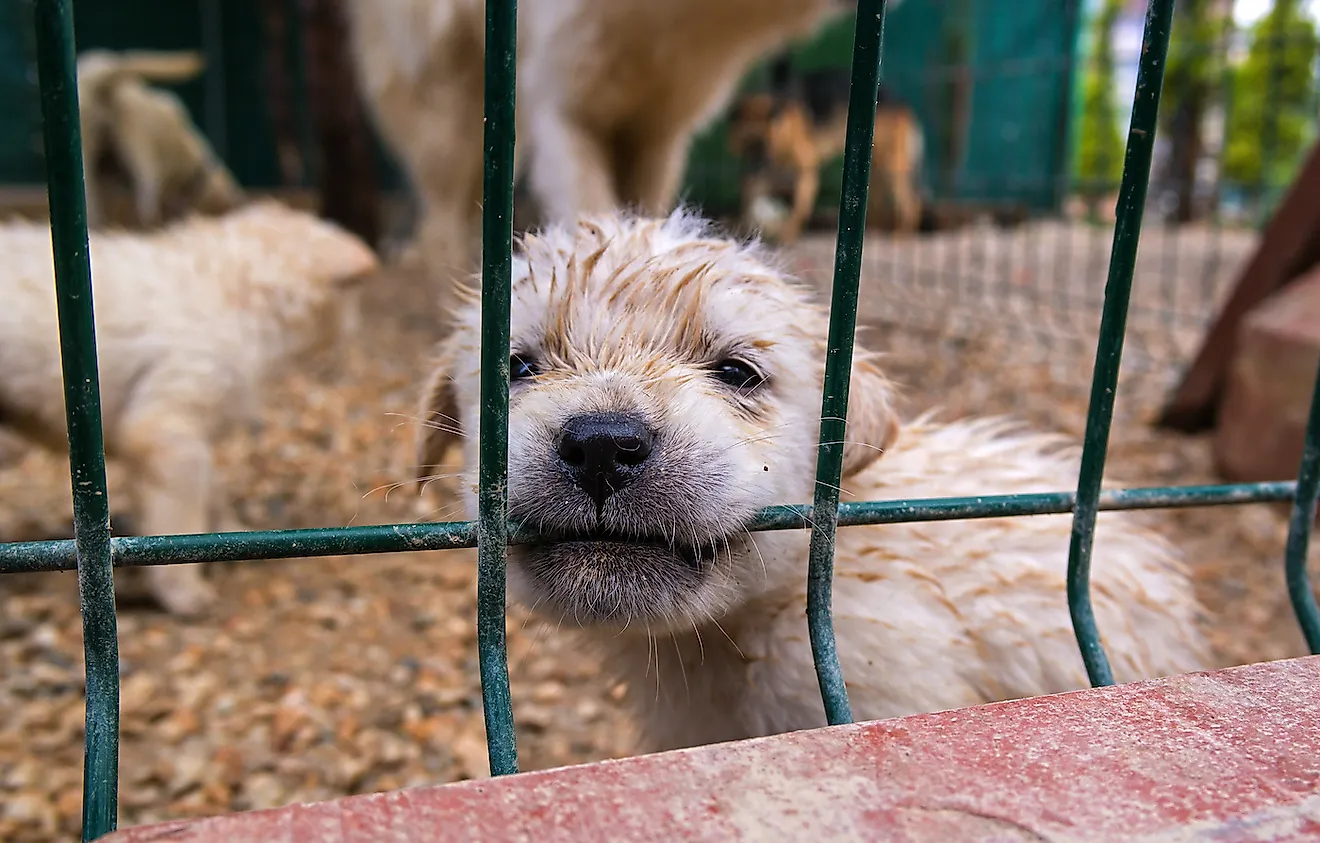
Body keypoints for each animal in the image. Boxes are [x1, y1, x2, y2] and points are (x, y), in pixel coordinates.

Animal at [2, 201, 380, 617]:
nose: (357, 327)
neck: (235, 291)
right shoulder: (165, 427)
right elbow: (179, 513)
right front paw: (185, 592)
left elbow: (210, 489)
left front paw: (231, 536)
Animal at [723, 54, 929, 242]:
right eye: (745, 146)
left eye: (765, 145)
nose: (752, 172)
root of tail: (902, 103)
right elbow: (751, 200)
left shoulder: (806, 167)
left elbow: (800, 206)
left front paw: (787, 235)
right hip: (874, 170)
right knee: (878, 205)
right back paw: (873, 233)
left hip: (891, 169)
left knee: (911, 204)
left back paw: (902, 236)